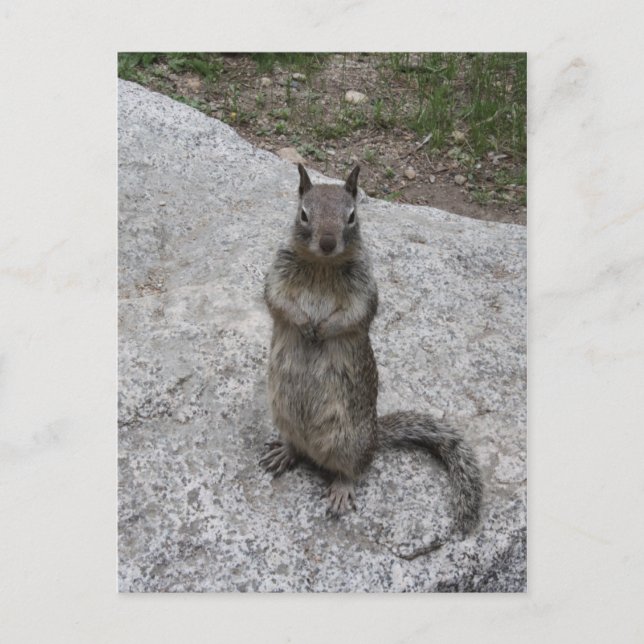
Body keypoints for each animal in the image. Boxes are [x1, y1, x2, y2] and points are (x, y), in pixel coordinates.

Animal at [261, 164, 482, 532]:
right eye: (304, 214)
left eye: (352, 216)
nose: (327, 242)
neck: (322, 265)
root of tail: (376, 437)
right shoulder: (276, 273)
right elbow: (278, 302)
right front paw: (305, 324)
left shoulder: (365, 289)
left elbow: (354, 315)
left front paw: (323, 329)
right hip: (283, 415)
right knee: (297, 447)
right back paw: (285, 452)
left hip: (348, 440)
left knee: (352, 470)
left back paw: (340, 488)